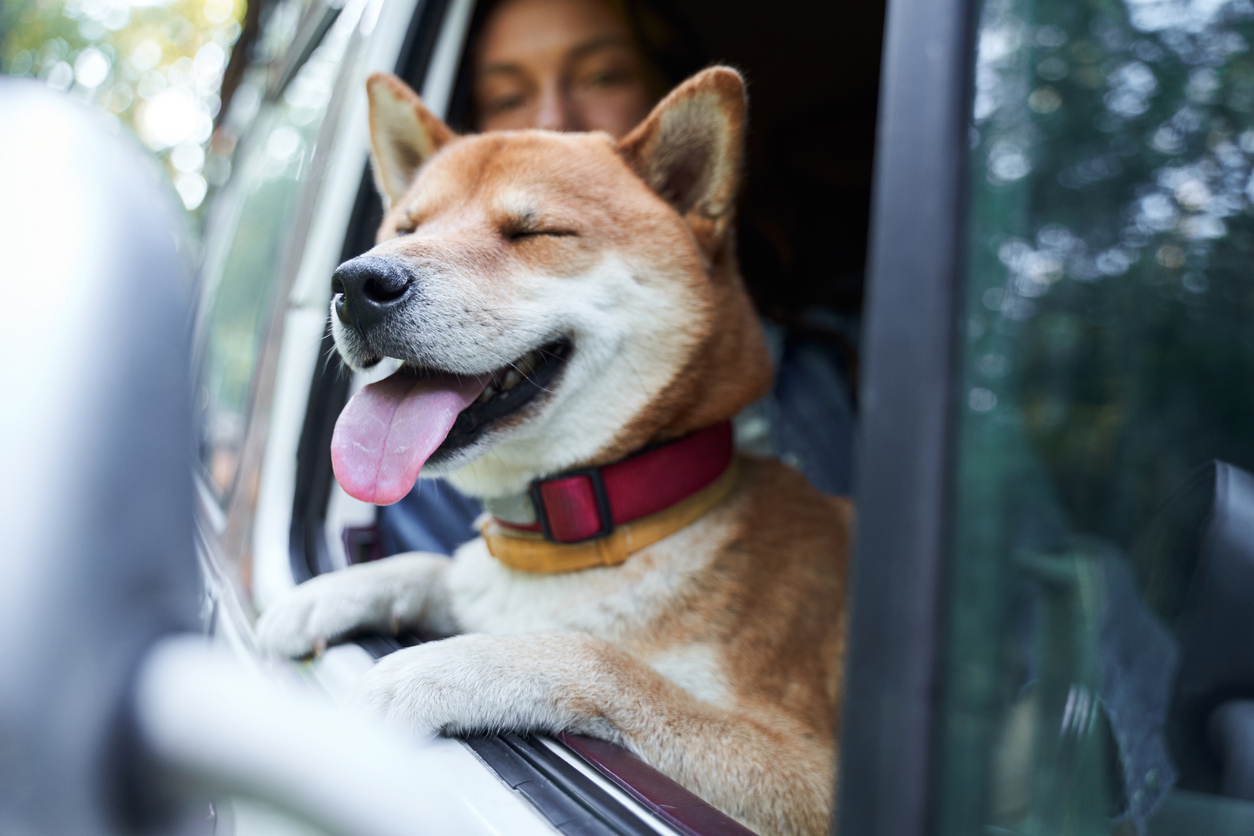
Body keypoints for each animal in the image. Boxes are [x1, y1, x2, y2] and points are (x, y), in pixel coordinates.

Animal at [259, 67, 857, 836]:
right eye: (406, 228)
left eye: (534, 231)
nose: (357, 282)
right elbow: (436, 566)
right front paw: (328, 594)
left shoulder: (807, 771)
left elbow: (597, 655)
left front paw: (433, 670)